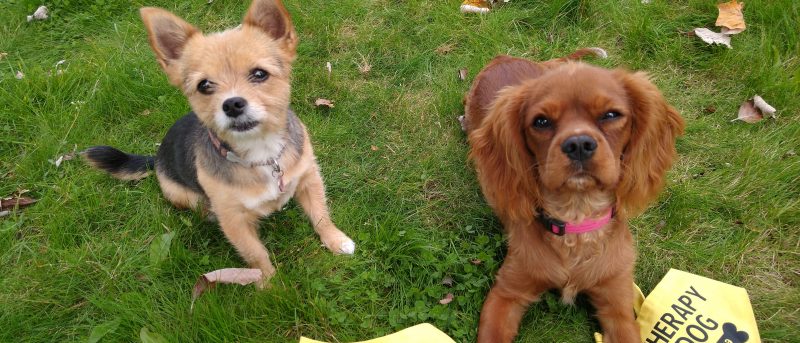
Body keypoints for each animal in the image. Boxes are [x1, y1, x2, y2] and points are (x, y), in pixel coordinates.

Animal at [83, 0, 354, 284]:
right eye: (204, 85)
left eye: (259, 74)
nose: (232, 104)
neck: (262, 153)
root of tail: (156, 158)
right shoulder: (234, 221)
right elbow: (256, 255)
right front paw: (270, 285)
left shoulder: (309, 178)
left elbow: (320, 215)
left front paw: (336, 240)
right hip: (181, 194)